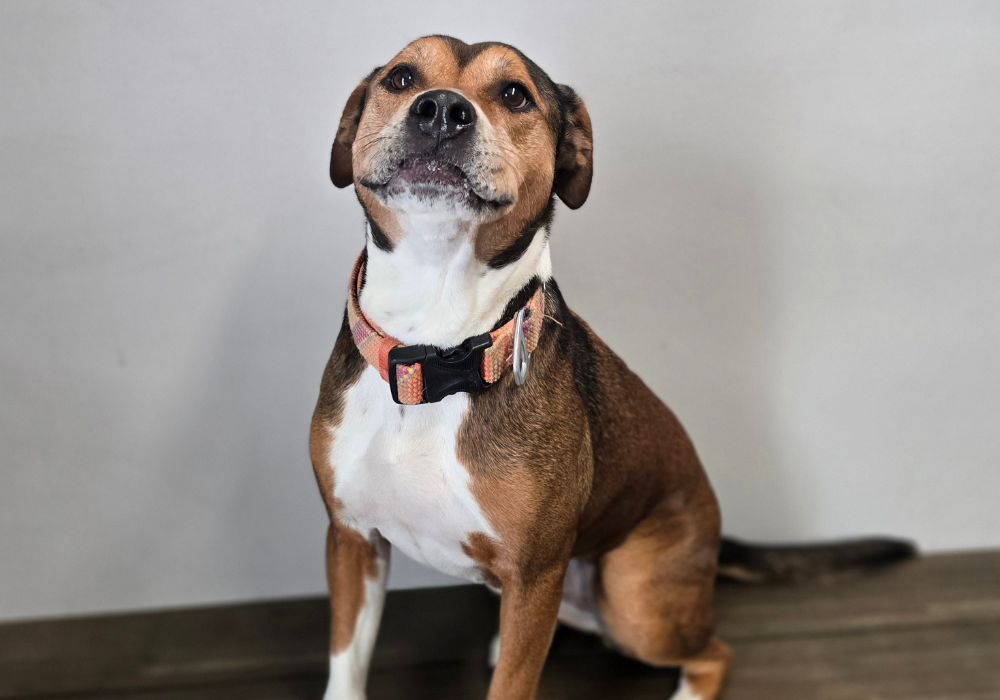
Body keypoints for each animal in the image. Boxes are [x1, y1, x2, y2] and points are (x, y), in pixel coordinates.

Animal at [310, 37, 916, 700]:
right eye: (401, 78)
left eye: (514, 94)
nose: (441, 109)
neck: (434, 350)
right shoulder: (352, 541)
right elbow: (346, 665)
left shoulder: (533, 575)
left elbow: (515, 685)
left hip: (631, 597)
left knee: (713, 652)